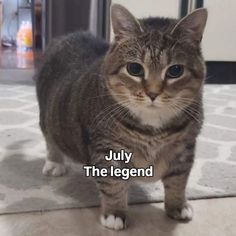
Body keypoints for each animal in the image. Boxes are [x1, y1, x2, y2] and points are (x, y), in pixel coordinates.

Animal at [35, 3, 206, 230]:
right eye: (134, 68)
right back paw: (54, 162)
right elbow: (113, 185)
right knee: (50, 139)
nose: (153, 93)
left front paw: (177, 206)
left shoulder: (184, 149)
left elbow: (178, 181)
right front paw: (115, 213)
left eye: (175, 70)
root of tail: (69, 35)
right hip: (48, 117)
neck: (153, 129)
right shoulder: (109, 150)